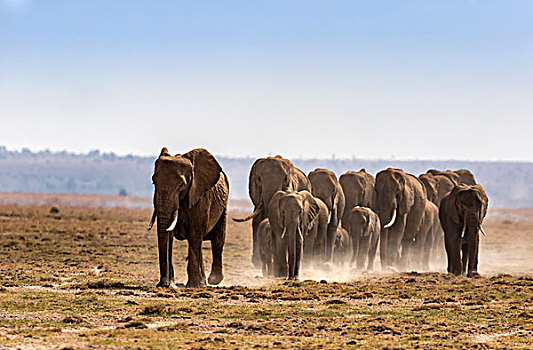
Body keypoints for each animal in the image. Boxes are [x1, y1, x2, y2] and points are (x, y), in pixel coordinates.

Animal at [148, 148, 229, 288]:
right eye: (153, 181)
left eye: (181, 185)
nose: (162, 284)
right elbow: (168, 235)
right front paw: (170, 285)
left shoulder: (200, 197)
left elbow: (195, 232)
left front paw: (194, 286)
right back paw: (204, 282)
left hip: (224, 205)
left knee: (218, 239)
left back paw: (213, 281)